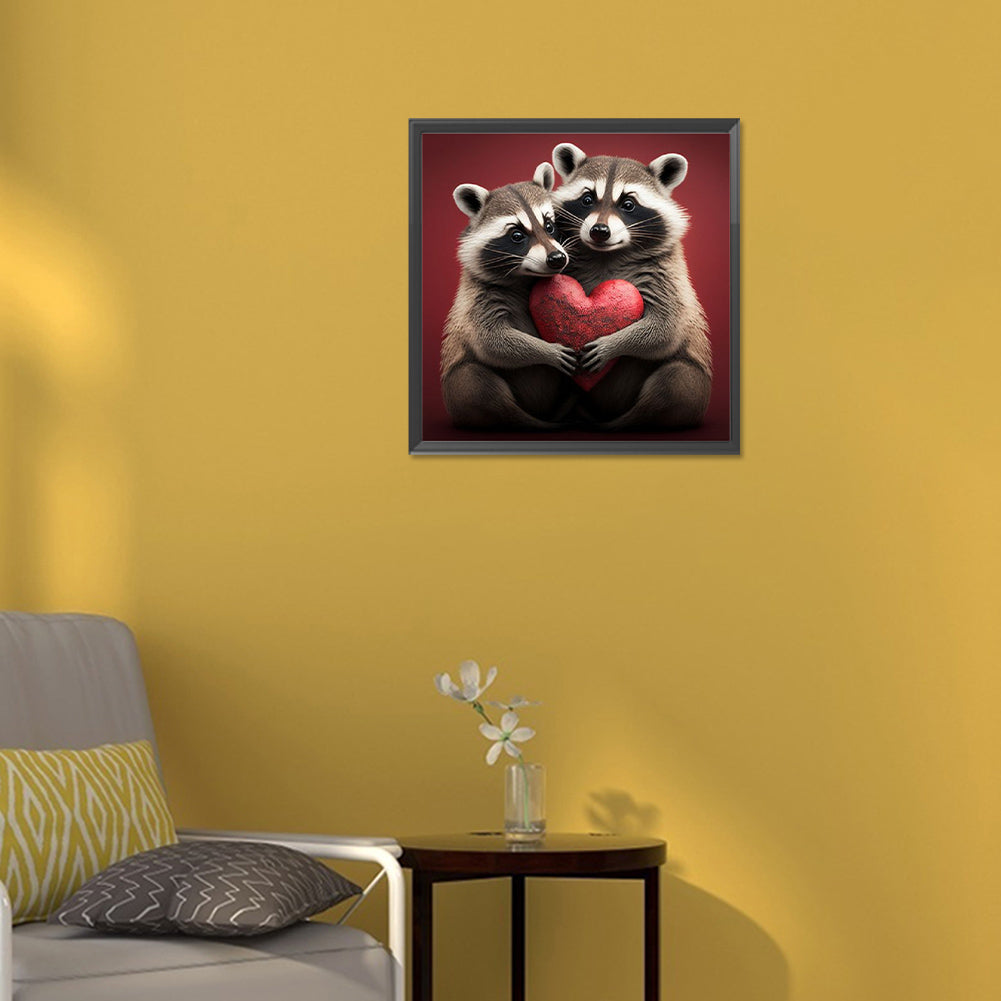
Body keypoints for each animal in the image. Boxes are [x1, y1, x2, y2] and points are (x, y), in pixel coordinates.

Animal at [440, 163, 578, 430]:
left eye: (549, 226)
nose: (557, 258)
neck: (524, 278)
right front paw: (548, 350)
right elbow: (492, 341)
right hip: (460, 389)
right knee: (476, 381)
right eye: (517, 235)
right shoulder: (477, 298)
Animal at [551, 142, 712, 430]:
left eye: (628, 204)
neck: (605, 255)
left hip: (690, 382)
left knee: (675, 379)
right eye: (587, 199)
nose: (599, 231)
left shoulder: (666, 271)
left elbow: (666, 326)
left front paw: (612, 344)